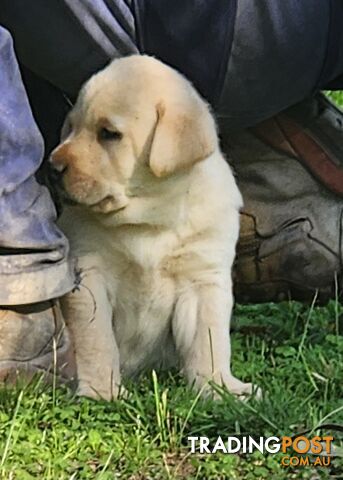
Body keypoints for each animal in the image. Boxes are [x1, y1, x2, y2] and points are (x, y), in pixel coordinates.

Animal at [50, 54, 255, 400]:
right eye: (72, 127)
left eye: (108, 133)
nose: (52, 167)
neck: (148, 220)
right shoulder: (89, 274)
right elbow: (97, 339)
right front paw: (102, 391)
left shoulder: (203, 280)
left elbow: (210, 342)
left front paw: (219, 388)